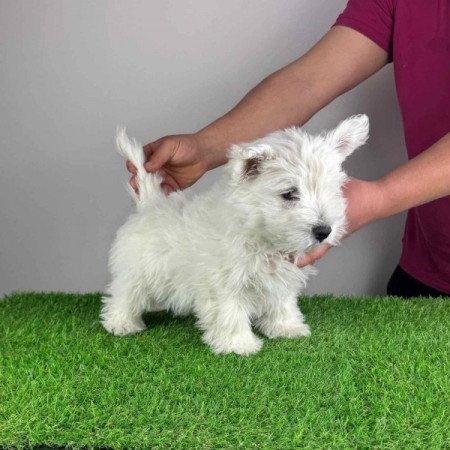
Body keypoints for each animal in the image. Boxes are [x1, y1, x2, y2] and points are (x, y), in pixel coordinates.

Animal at [100, 116, 368, 356]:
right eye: (290, 194)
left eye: (331, 190)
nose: (324, 231)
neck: (259, 233)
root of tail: (149, 204)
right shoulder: (224, 283)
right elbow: (230, 313)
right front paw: (239, 345)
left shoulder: (280, 279)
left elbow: (283, 303)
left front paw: (287, 328)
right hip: (135, 270)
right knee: (124, 295)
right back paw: (121, 323)